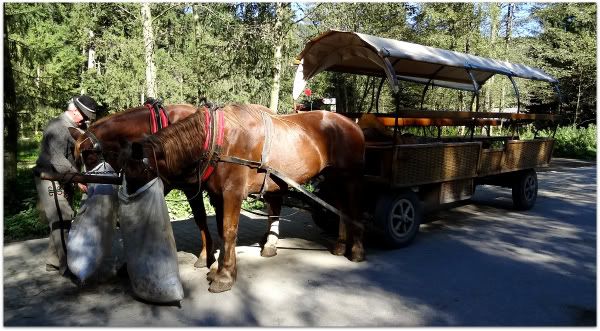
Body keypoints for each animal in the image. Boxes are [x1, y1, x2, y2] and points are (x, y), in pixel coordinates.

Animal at [120, 104, 366, 294]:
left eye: (139, 173)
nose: (130, 208)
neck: (219, 139)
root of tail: (352, 123)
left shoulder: (233, 193)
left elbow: (229, 231)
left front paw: (225, 276)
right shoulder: (218, 195)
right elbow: (222, 231)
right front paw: (218, 269)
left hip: (350, 177)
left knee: (353, 208)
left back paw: (356, 250)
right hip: (333, 178)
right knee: (341, 208)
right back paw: (341, 245)